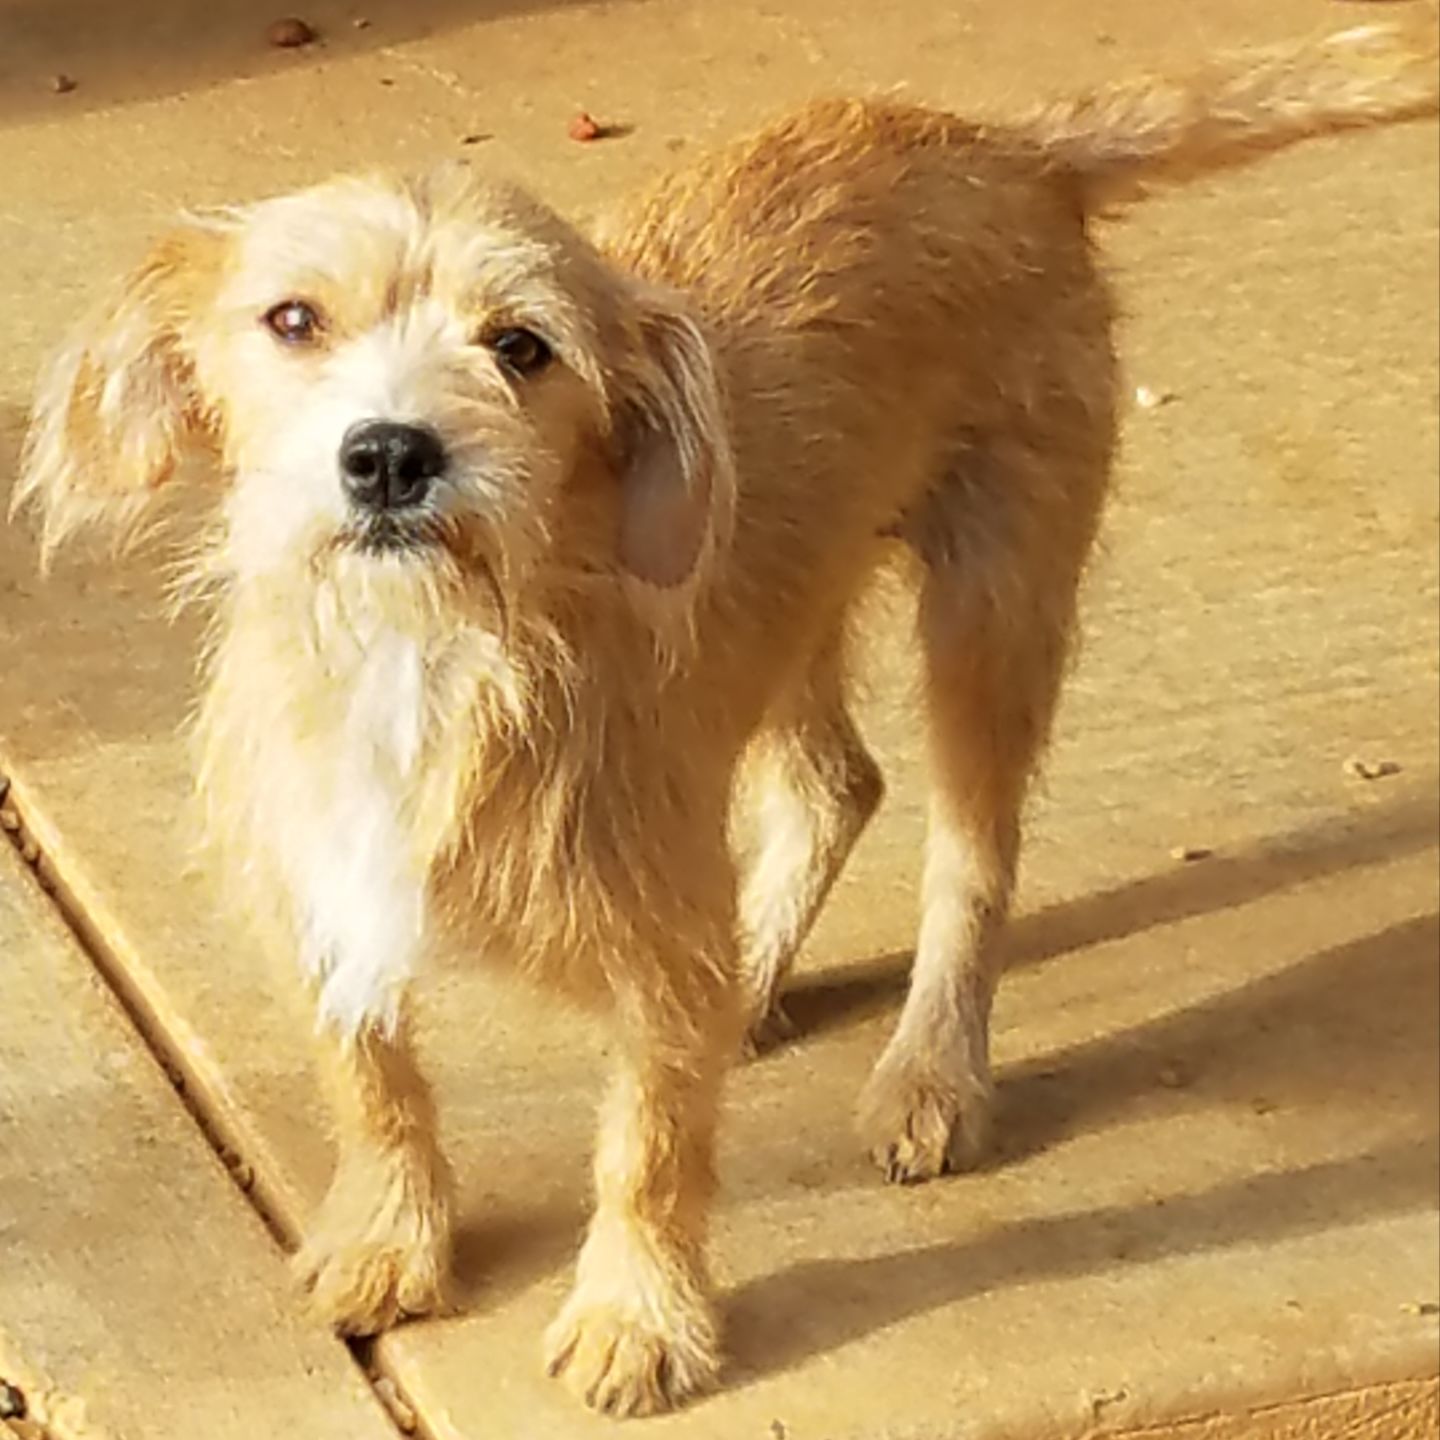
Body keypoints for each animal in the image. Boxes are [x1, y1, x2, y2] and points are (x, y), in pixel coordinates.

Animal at [14, 19, 1440, 1416]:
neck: (431, 642)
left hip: (994, 597)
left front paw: (637, 1316)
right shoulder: (320, 876)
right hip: (790, 617)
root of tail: (1003, 144)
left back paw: (930, 1071)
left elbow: (648, 1143)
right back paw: (753, 975)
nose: (389, 453)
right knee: (835, 781)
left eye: (520, 347)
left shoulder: (650, 919)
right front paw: (390, 1238)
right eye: (293, 319)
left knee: (969, 857)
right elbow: (372, 1079)